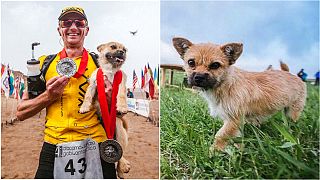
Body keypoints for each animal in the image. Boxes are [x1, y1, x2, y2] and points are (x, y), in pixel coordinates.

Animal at [79, 41, 131, 178]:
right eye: (113, 47)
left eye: (125, 50)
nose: (122, 52)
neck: (110, 70)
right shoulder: (93, 84)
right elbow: (87, 96)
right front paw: (84, 107)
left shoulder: (121, 84)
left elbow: (121, 95)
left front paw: (122, 107)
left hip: (118, 127)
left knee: (121, 155)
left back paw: (121, 169)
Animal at [171, 37, 306, 151]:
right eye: (191, 62)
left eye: (215, 65)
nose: (198, 77)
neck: (224, 86)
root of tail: (291, 74)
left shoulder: (233, 119)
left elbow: (221, 135)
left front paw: (213, 151)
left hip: (293, 111)